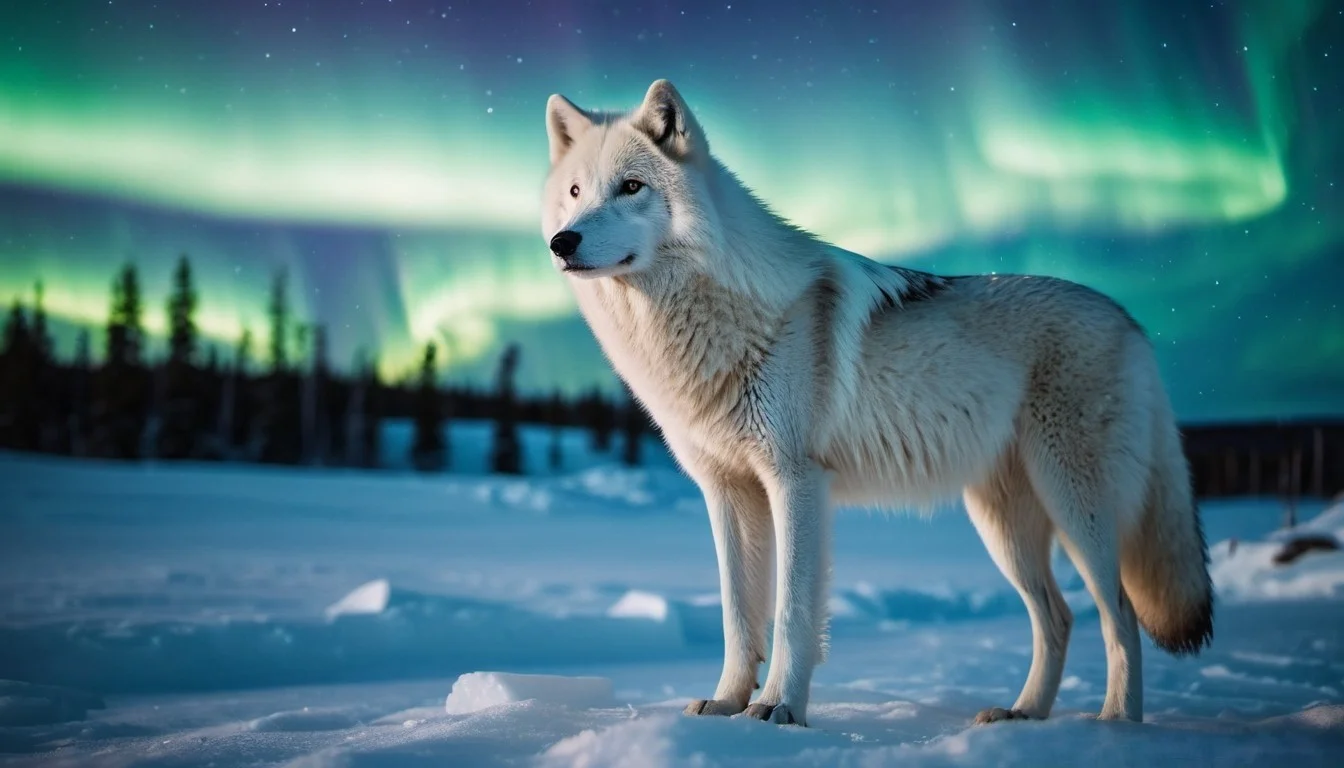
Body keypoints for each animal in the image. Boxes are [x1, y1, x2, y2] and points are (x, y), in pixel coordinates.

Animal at [539, 80, 1214, 727]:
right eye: (575, 191)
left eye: (631, 187)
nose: (561, 242)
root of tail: (1132, 323)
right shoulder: (725, 490)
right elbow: (737, 616)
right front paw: (726, 706)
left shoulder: (796, 481)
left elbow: (791, 613)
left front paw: (779, 710)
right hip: (1004, 525)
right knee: (1060, 617)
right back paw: (1023, 715)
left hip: (1075, 507)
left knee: (1120, 612)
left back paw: (1115, 724)